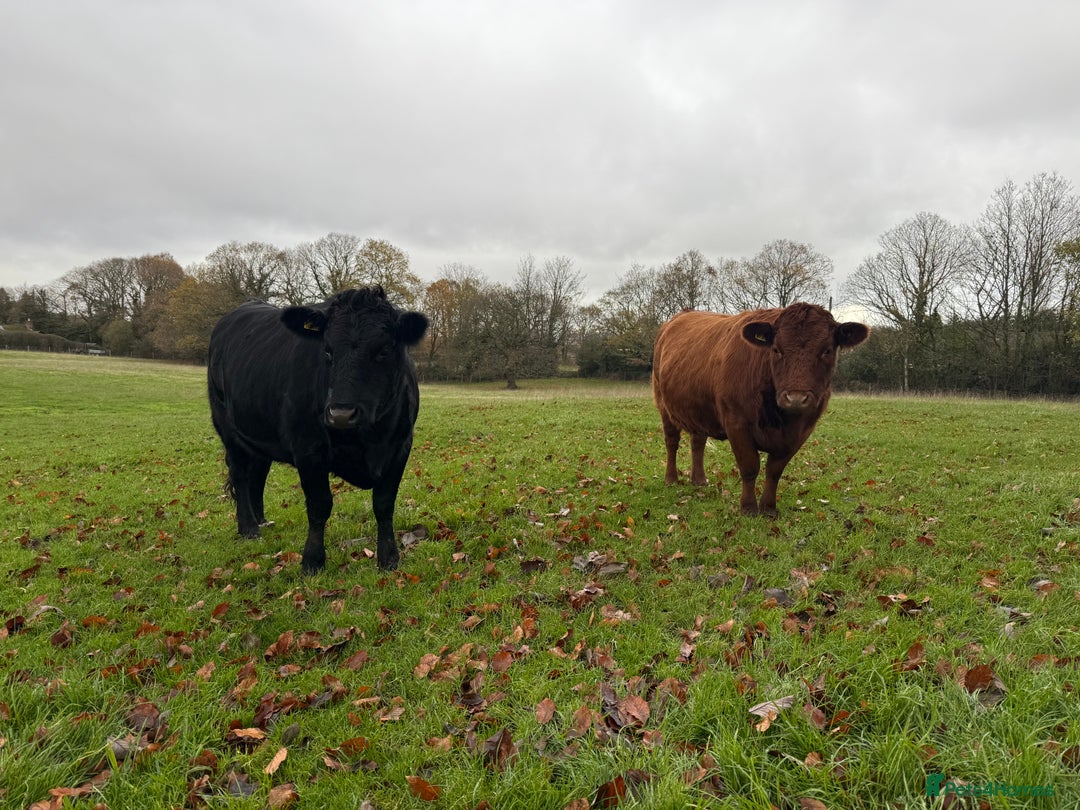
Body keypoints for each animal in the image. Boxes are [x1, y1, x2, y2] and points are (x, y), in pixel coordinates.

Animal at [207, 287, 428, 573]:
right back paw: (249, 527)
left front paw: (389, 558)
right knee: (241, 474)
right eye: (327, 351)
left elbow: (384, 503)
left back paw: (262, 520)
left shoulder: (400, 446)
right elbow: (319, 505)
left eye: (384, 350)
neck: (369, 438)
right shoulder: (308, 449)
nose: (341, 414)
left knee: (258, 473)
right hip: (227, 427)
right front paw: (312, 561)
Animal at [652, 302, 869, 516]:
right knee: (672, 442)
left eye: (827, 351)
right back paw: (671, 479)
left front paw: (769, 508)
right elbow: (749, 467)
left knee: (698, 442)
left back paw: (699, 480)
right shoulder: (736, 423)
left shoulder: (801, 432)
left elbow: (774, 470)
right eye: (776, 349)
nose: (796, 398)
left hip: (698, 410)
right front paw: (748, 507)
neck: (780, 420)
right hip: (664, 405)